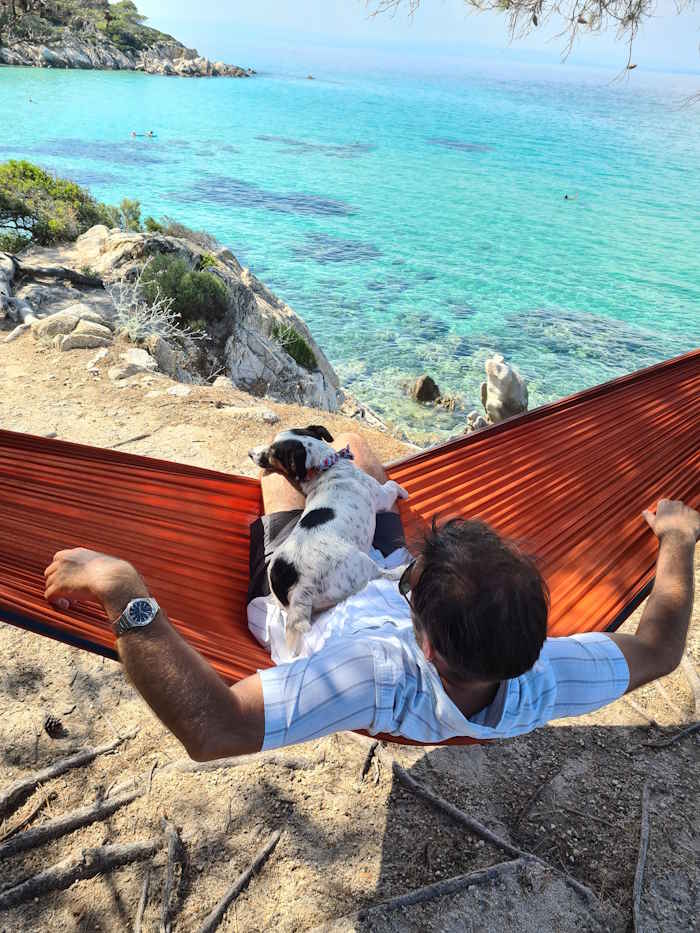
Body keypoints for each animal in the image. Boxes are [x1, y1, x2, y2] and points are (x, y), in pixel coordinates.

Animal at [249, 424, 408, 652]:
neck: (327, 467)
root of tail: (300, 590)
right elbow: (393, 485)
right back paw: (401, 569)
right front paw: (404, 492)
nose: (250, 453)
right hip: (359, 565)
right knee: (383, 575)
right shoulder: (382, 497)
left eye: (272, 452)